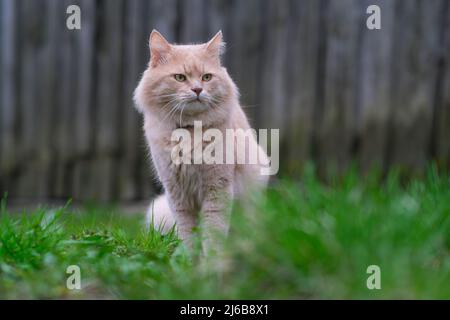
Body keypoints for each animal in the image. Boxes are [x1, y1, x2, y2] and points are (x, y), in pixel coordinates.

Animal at [133, 30, 268, 252]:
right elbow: (189, 236)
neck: (190, 132)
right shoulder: (177, 194)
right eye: (179, 77)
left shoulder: (217, 189)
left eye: (207, 77)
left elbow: (213, 236)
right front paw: (189, 260)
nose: (197, 90)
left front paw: (210, 262)